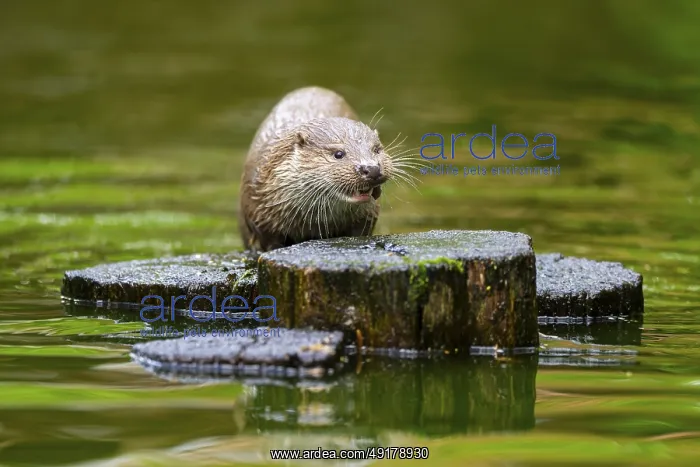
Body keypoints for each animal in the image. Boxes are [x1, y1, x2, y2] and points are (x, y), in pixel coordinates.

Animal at [239, 86, 398, 252]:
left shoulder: (367, 214)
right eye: (338, 154)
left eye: (376, 149)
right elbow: (269, 242)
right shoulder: (260, 215)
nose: (372, 168)